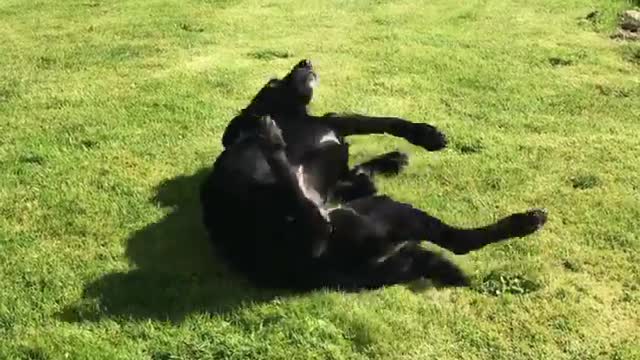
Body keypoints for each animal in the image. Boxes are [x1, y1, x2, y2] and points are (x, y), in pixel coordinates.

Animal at [199, 59, 544, 290]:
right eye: (273, 83)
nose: (305, 61)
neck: (293, 116)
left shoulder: (338, 132)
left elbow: (382, 126)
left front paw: (419, 140)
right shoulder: (334, 132)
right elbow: (369, 136)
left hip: (383, 212)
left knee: (457, 241)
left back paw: (526, 221)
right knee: (315, 221)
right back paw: (271, 143)